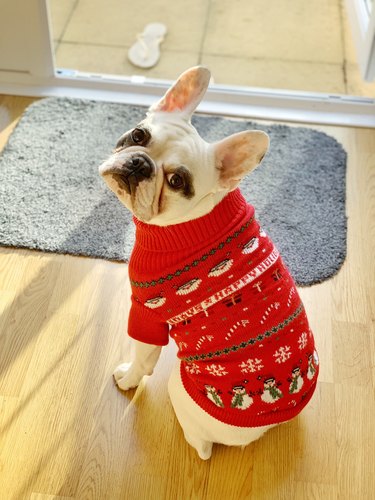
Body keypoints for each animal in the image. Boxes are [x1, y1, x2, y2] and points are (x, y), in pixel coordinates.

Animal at [100, 67, 320, 460]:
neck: (190, 220)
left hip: (180, 386)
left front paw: (127, 378)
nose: (140, 163)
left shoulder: (146, 313)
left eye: (177, 181)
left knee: (195, 438)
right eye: (139, 135)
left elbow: (142, 358)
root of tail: (263, 428)